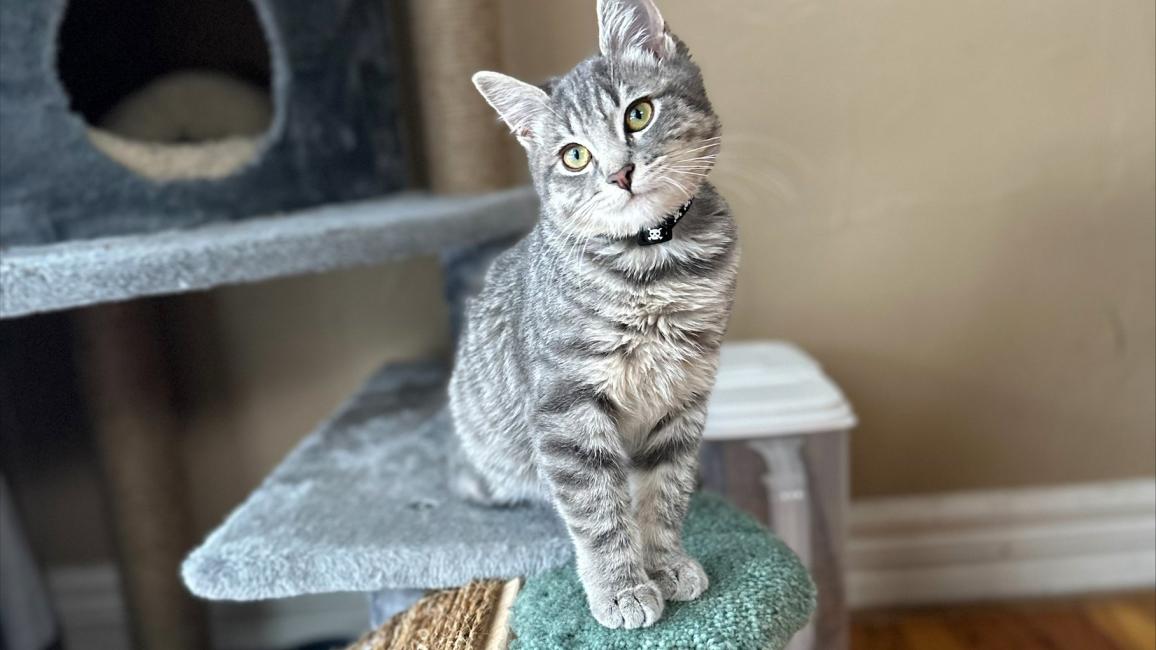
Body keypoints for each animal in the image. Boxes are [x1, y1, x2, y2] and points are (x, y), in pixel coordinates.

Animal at [446, 0, 735, 629]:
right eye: (574, 155)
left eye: (639, 113)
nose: (620, 174)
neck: (653, 269)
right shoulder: (566, 407)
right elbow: (598, 508)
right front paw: (622, 588)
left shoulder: (684, 396)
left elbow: (664, 492)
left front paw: (665, 562)